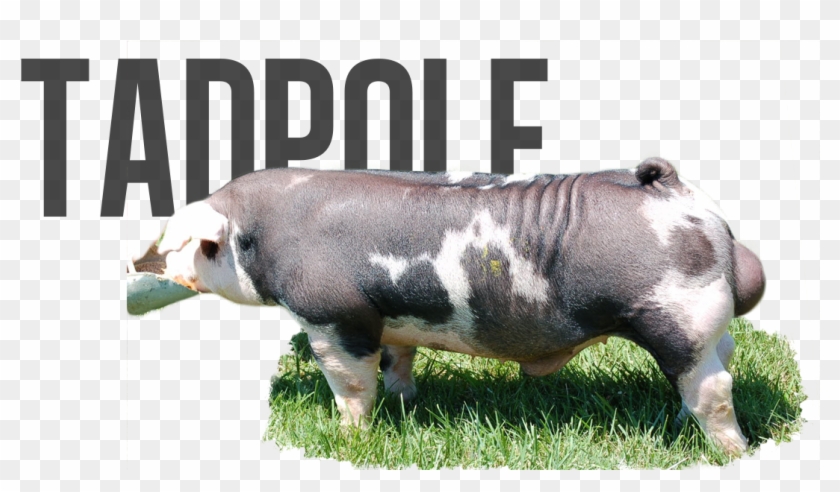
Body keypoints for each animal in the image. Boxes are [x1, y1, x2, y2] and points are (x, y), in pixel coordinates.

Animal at [136, 157, 765, 456]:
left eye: (199, 245)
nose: (145, 266)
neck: (262, 234)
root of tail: (674, 191)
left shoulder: (334, 316)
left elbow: (352, 384)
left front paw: (349, 439)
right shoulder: (392, 320)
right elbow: (398, 362)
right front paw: (406, 403)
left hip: (677, 314)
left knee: (714, 388)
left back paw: (730, 454)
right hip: (705, 325)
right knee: (718, 361)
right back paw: (677, 425)